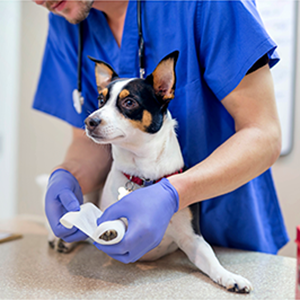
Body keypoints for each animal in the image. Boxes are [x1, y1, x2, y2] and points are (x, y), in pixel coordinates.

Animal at [82, 51, 253, 292]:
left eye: (128, 102)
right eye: (100, 100)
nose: (90, 120)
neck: (144, 177)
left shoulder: (193, 239)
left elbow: (211, 259)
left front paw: (230, 277)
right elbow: (114, 222)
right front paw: (110, 229)